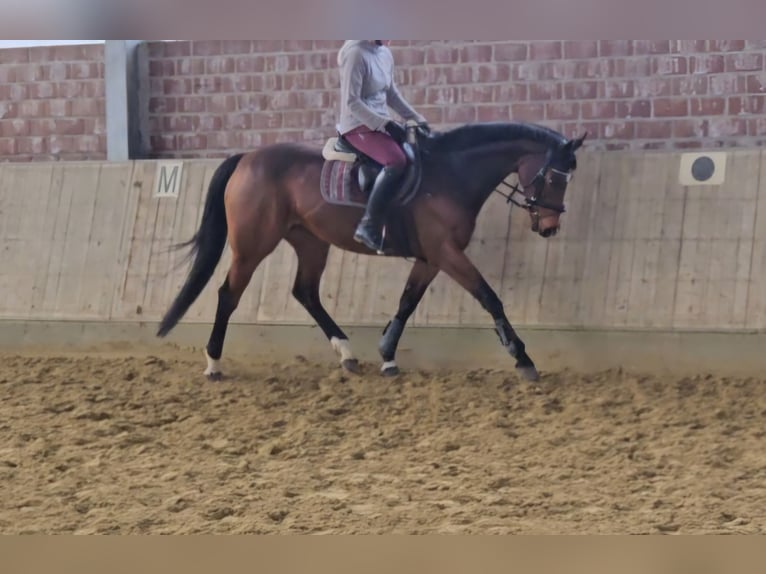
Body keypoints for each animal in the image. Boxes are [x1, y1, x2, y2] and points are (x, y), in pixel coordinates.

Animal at [156, 120, 586, 382]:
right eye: (554, 177)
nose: (549, 227)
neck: (450, 175)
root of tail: (247, 158)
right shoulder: (446, 253)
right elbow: (489, 296)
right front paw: (522, 358)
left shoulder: (431, 258)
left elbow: (407, 302)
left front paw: (387, 355)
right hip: (252, 245)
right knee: (228, 294)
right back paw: (214, 363)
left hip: (311, 242)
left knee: (306, 292)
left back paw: (346, 353)